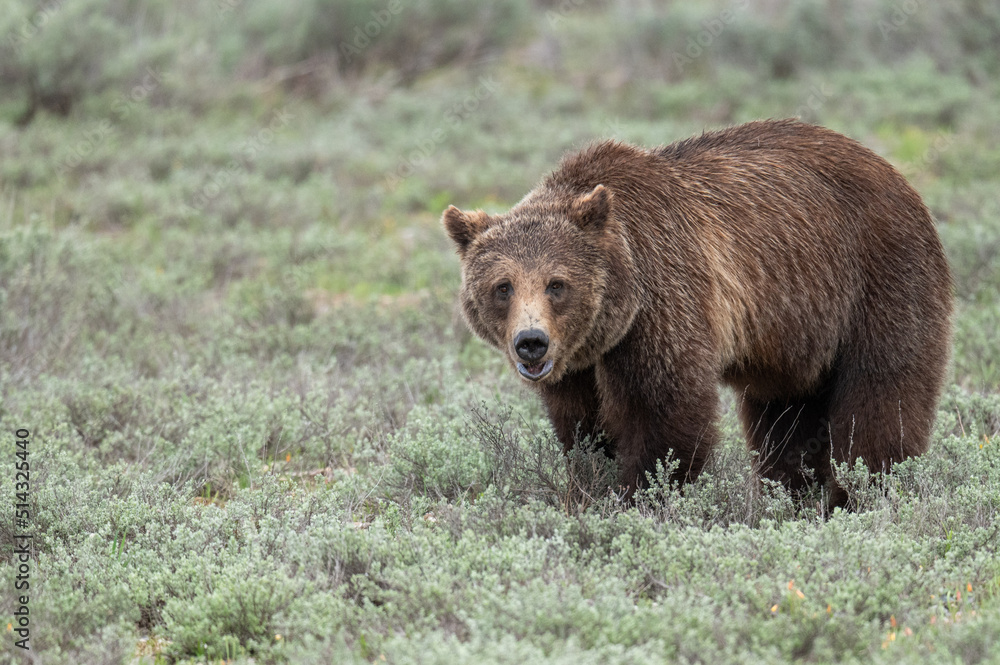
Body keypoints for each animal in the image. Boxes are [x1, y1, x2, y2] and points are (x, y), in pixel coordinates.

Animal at [444, 119, 952, 504]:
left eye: (556, 284)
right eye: (503, 287)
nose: (531, 342)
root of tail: (894, 172)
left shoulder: (663, 300)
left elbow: (666, 412)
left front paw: (642, 496)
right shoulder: (580, 365)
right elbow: (583, 429)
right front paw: (589, 490)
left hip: (877, 280)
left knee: (880, 397)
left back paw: (864, 492)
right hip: (796, 336)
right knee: (787, 421)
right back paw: (795, 497)